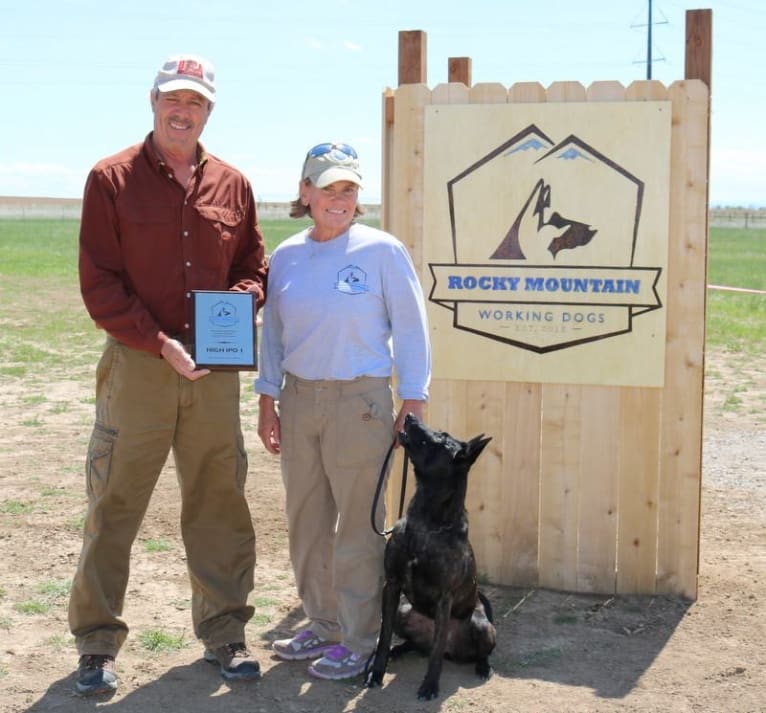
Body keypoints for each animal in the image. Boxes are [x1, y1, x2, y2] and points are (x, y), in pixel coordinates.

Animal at [368, 414, 498, 700]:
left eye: (441, 437)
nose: (409, 416)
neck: (426, 524)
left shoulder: (444, 598)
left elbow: (436, 651)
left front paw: (429, 685)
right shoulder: (391, 586)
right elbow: (383, 637)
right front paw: (376, 671)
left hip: (481, 625)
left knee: (467, 651)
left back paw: (483, 667)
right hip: (404, 611)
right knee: (413, 644)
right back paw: (398, 651)